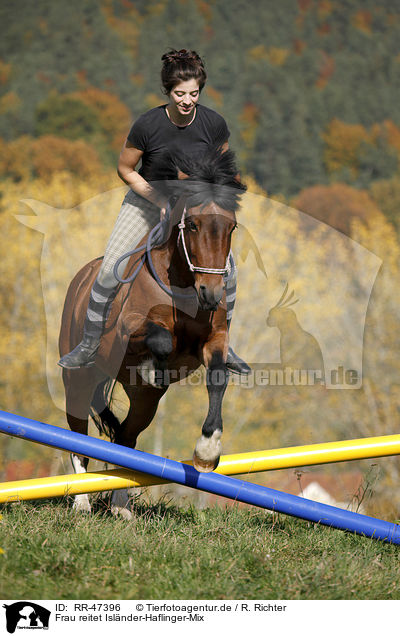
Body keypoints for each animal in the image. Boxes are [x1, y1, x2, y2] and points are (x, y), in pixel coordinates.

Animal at [58, 148, 247, 512]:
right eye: (193, 224)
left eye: (231, 227)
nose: (211, 294)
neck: (184, 284)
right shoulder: (129, 329)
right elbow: (159, 340)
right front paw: (152, 369)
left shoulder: (214, 339)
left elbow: (217, 377)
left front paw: (207, 452)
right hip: (78, 377)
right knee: (77, 433)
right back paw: (82, 501)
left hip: (144, 403)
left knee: (126, 437)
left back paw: (120, 506)